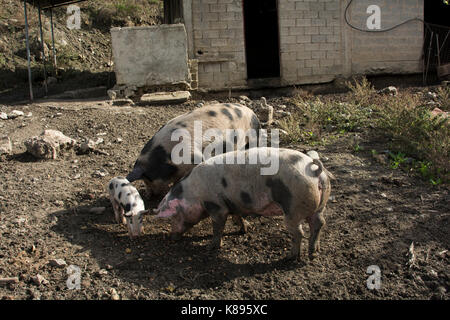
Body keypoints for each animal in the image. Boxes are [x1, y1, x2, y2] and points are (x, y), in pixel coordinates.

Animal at [153, 148, 332, 260]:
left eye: (174, 216)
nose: (172, 237)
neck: (194, 193)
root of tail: (316, 171)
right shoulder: (233, 203)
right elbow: (238, 217)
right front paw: (244, 230)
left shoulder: (216, 206)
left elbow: (217, 227)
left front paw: (211, 247)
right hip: (320, 205)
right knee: (319, 223)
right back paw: (314, 252)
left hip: (293, 207)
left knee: (299, 232)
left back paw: (290, 257)